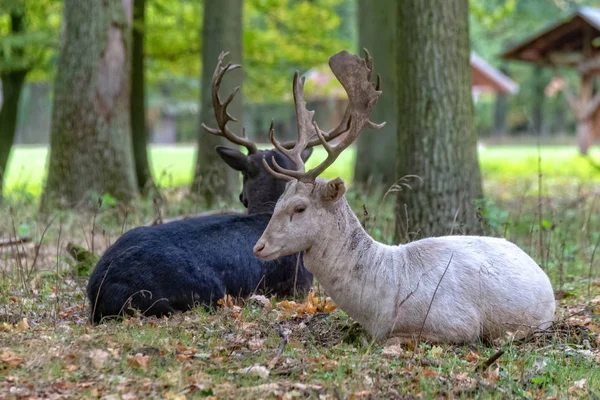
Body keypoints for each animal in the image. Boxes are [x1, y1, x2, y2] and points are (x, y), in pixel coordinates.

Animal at [85, 51, 352, 324]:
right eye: (243, 174)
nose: (241, 196)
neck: (266, 212)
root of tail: (100, 290)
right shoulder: (298, 285)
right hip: (197, 292)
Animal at [251, 49, 556, 344]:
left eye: (299, 208)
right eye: (277, 203)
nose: (259, 247)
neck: (381, 306)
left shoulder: (459, 323)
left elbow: (392, 341)